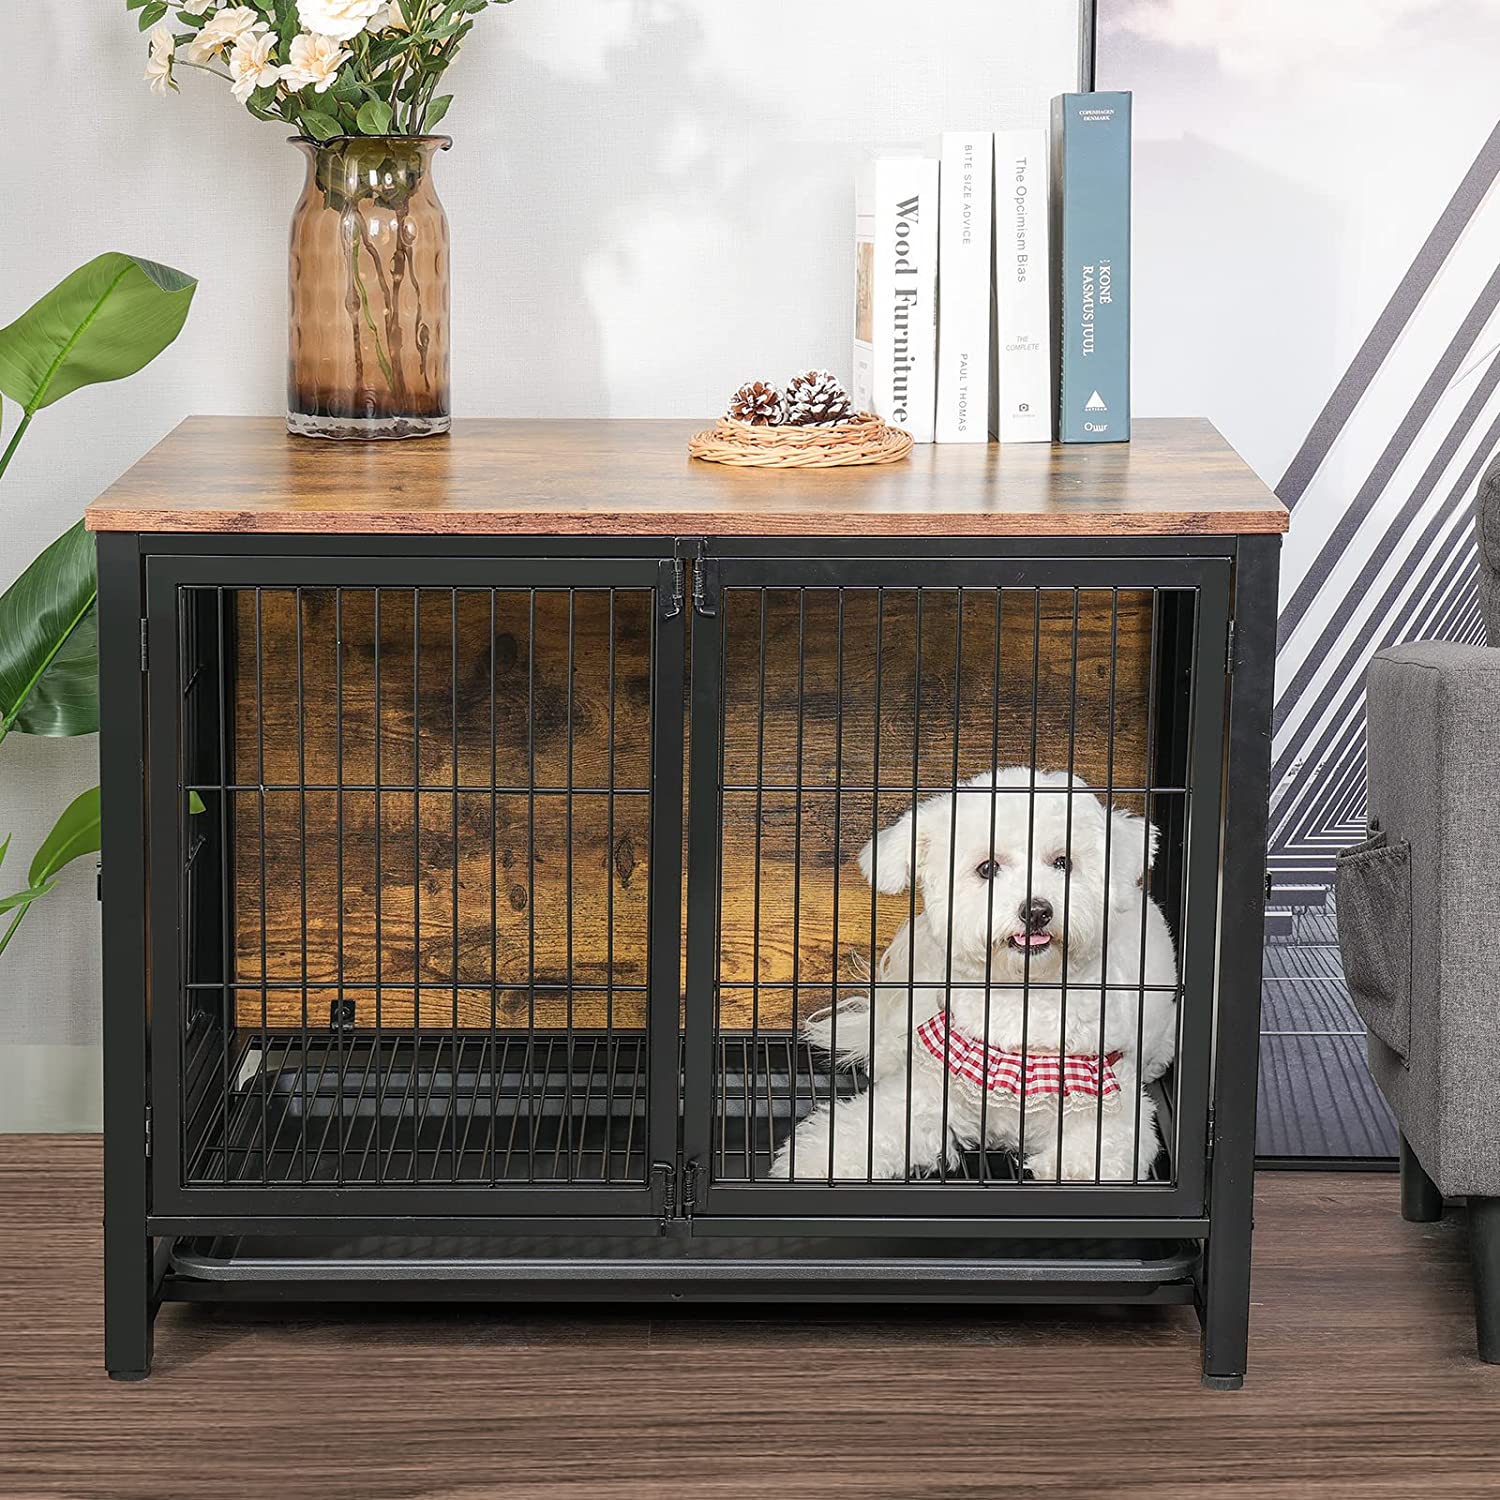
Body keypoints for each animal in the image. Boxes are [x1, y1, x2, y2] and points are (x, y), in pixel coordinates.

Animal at [774, 774, 1182, 1182]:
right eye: (987, 868)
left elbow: (1088, 1162)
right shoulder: (928, 1093)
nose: (1037, 909)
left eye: (1063, 863)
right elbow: (870, 1127)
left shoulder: (1110, 1114)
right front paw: (813, 1161)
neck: (1021, 1002)